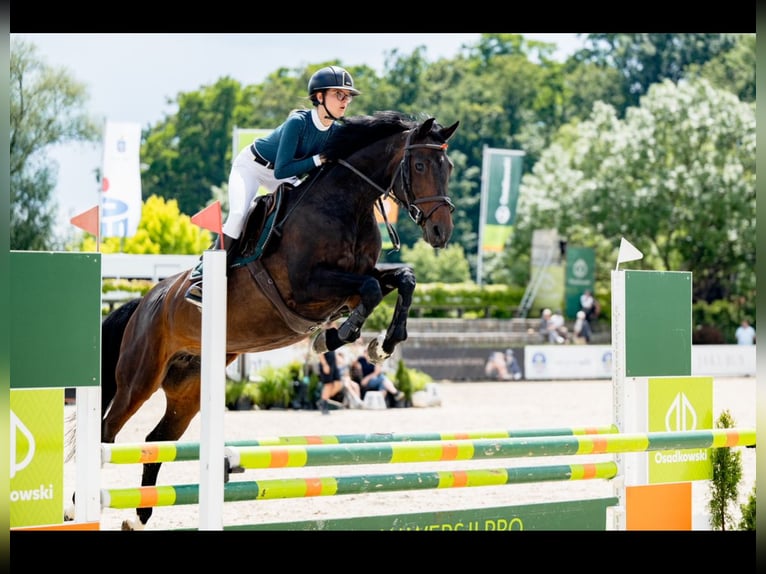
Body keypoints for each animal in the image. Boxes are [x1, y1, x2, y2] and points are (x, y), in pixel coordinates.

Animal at [92, 110, 459, 530]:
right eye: (420, 165)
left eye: (448, 166)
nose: (441, 232)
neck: (346, 204)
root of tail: (145, 301)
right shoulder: (305, 286)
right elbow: (369, 289)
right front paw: (337, 337)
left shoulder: (350, 284)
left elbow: (401, 279)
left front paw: (380, 343)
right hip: (140, 377)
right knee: (107, 432)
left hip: (190, 388)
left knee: (156, 441)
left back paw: (140, 514)